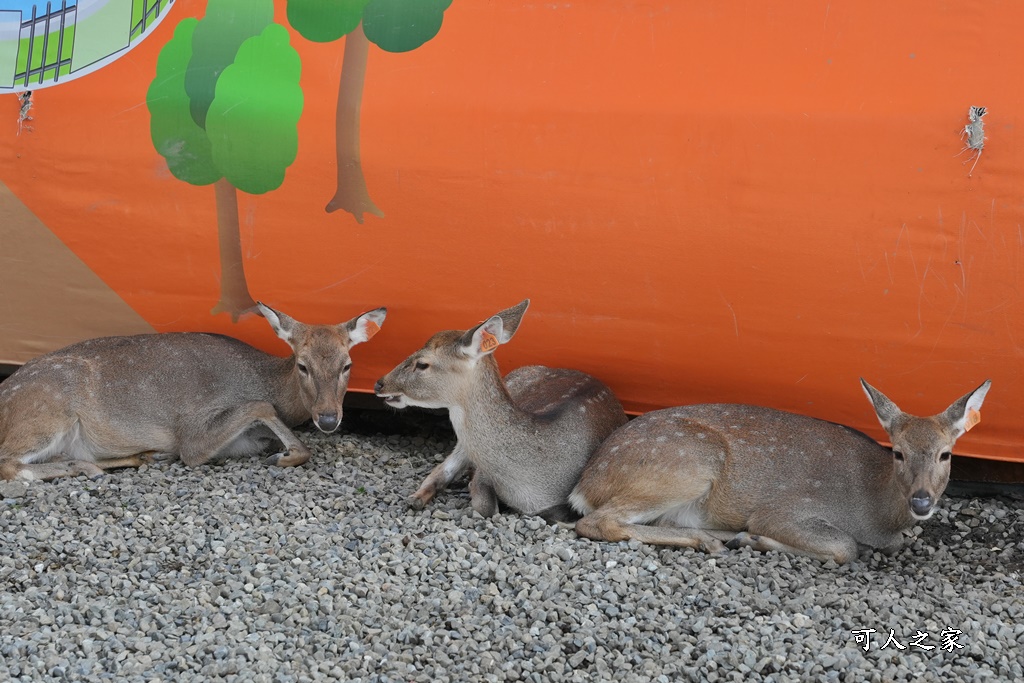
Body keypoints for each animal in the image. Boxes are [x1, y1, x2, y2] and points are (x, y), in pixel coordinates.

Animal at [0, 301, 385, 483]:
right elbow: (258, 407)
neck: (263, 377)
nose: (328, 418)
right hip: (45, 412)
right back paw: (89, 468)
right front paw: (285, 455)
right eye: (303, 365)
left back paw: (137, 457)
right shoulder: (194, 428)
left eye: (347, 365)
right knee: (9, 464)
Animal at [569, 376, 991, 565]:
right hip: (685, 464)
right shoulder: (786, 509)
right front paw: (759, 539)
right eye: (899, 453)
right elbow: (844, 547)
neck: (874, 513)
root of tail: (585, 483)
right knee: (598, 521)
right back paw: (717, 541)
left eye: (946, 454)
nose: (921, 501)